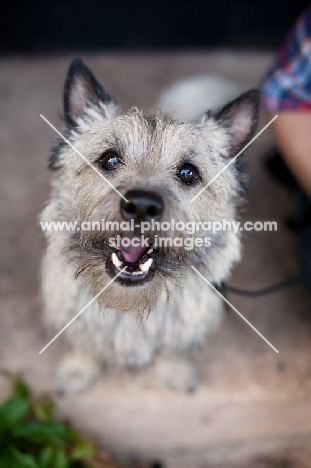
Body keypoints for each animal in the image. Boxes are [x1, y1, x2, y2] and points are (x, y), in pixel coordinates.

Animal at [41, 59, 260, 394]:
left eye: (188, 173)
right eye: (109, 159)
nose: (141, 206)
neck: (128, 304)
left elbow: (171, 348)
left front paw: (174, 370)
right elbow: (85, 342)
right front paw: (79, 370)